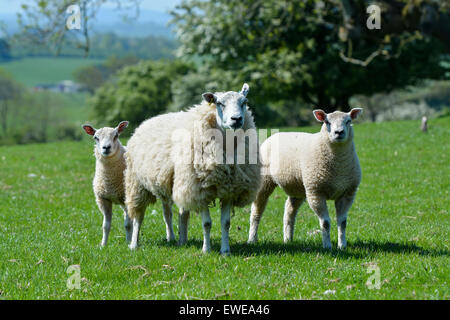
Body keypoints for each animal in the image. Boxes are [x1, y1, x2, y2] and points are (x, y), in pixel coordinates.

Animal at [125, 83, 260, 255]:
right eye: (219, 103)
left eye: (244, 102)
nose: (236, 119)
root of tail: (147, 121)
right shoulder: (199, 190)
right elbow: (207, 223)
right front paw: (206, 250)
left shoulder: (229, 189)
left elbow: (226, 223)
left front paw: (225, 251)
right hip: (137, 183)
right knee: (138, 215)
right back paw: (134, 244)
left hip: (168, 183)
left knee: (169, 213)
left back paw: (176, 239)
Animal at [248, 109, 364, 249]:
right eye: (327, 122)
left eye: (348, 121)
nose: (339, 132)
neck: (338, 168)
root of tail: (275, 135)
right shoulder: (316, 193)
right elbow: (325, 223)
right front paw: (328, 246)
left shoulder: (347, 193)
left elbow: (343, 222)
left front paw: (342, 246)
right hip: (265, 182)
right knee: (256, 211)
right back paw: (252, 239)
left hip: (297, 187)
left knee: (289, 211)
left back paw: (288, 239)